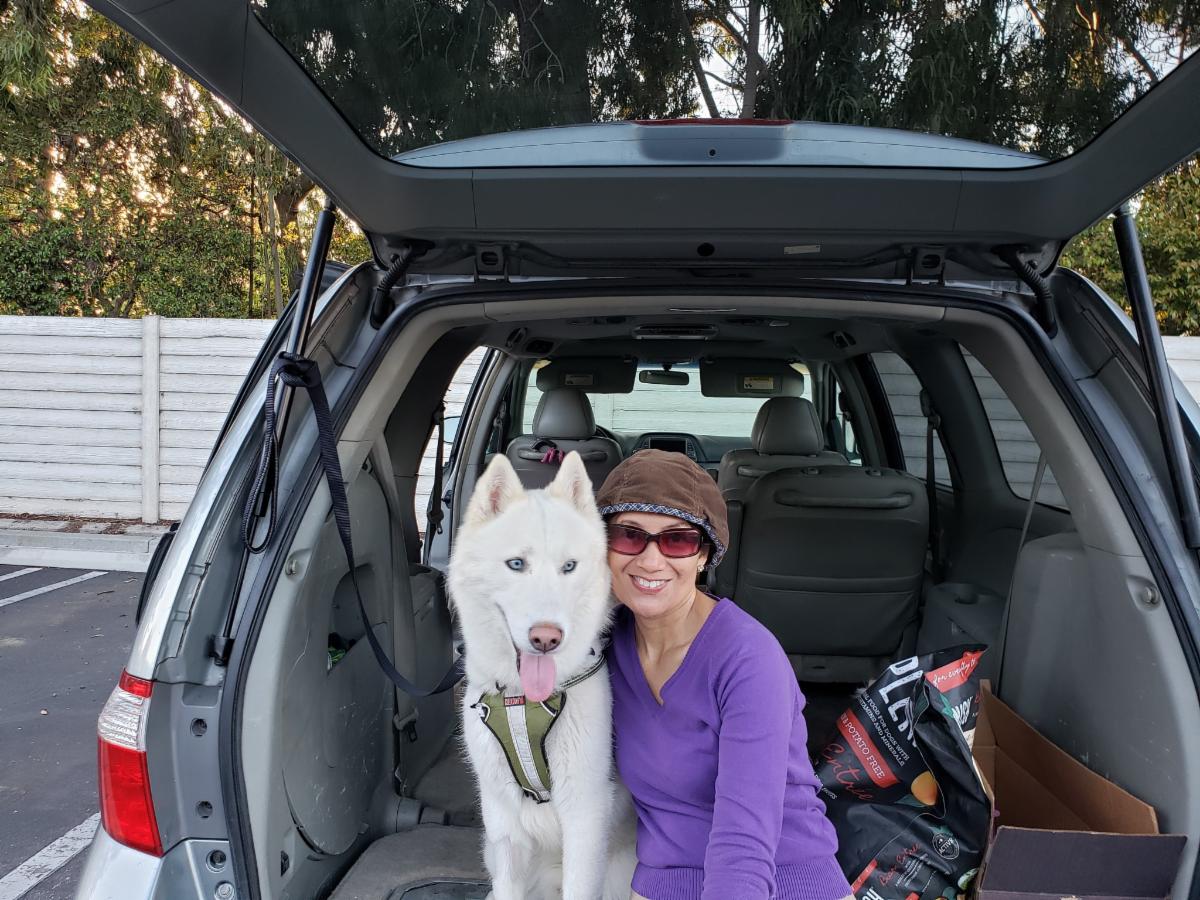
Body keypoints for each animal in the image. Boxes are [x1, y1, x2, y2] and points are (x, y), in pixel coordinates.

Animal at [447, 451, 637, 900]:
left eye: (569, 567)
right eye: (516, 564)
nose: (547, 638)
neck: (522, 701)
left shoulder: (585, 817)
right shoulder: (504, 826)